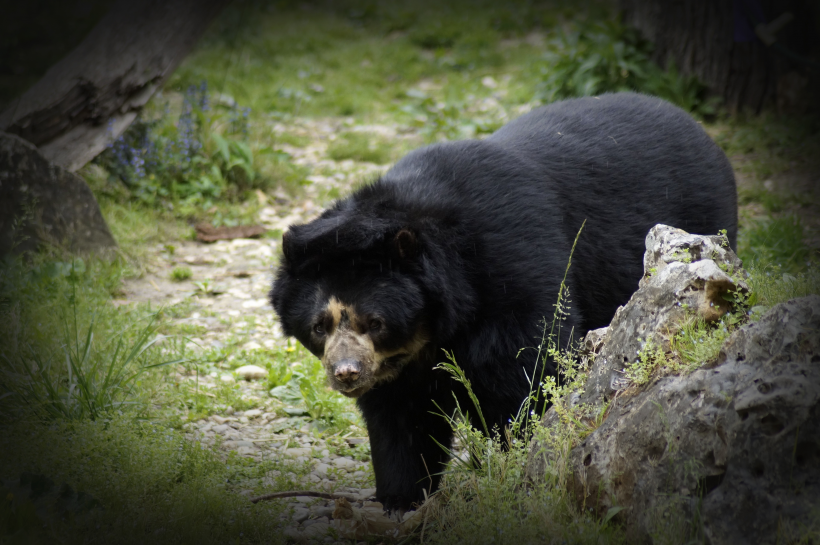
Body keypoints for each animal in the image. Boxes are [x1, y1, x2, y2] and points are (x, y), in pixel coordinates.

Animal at [270, 92, 736, 510]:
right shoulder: (395, 365)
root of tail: (698, 129)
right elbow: (398, 415)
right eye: (319, 325)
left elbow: (528, 371)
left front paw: (517, 459)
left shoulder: (515, 271)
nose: (347, 372)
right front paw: (400, 497)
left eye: (375, 322)